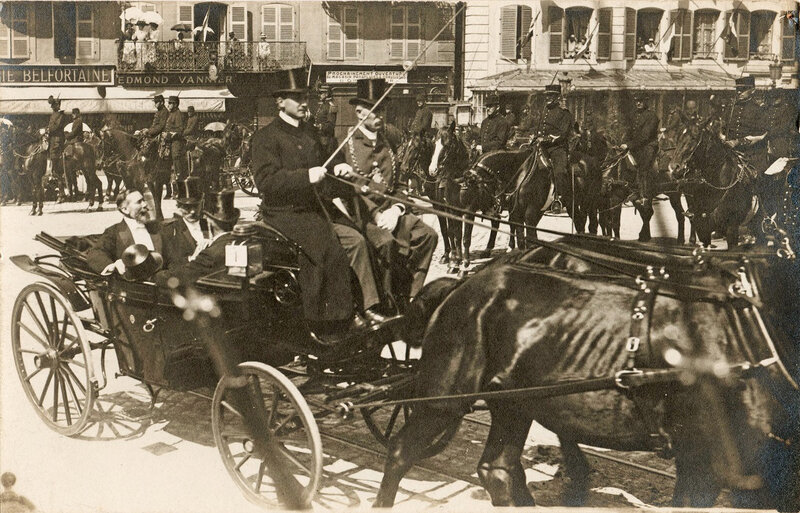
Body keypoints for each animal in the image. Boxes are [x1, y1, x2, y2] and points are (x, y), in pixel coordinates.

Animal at [376, 225, 800, 508]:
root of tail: (466, 283)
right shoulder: (709, 462)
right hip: (444, 398)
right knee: (399, 453)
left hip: (515, 401)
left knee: (498, 469)